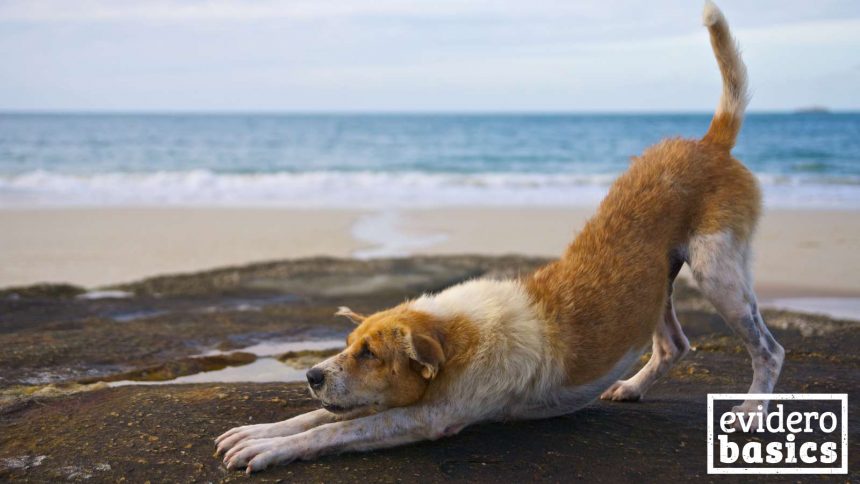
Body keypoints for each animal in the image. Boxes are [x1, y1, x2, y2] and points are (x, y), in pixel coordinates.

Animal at [217, 2, 788, 472]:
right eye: (348, 345)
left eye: (371, 354)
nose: (311, 376)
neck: (455, 335)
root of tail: (710, 142)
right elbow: (314, 419)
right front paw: (260, 432)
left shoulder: (428, 418)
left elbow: (334, 431)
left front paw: (269, 448)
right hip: (662, 280)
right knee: (673, 344)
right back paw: (632, 386)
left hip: (717, 271)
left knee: (769, 349)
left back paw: (752, 408)